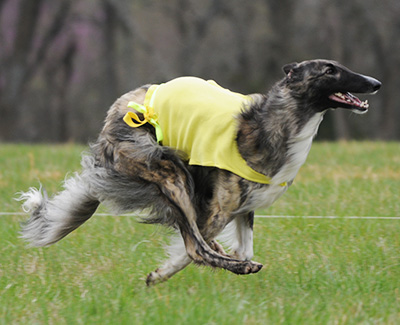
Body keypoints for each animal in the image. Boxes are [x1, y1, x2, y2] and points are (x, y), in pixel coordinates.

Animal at [18, 58, 382, 284]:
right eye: (329, 70)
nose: (376, 83)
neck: (268, 125)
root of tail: (118, 109)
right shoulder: (219, 207)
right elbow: (192, 249)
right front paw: (161, 273)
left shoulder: (243, 206)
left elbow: (240, 244)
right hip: (169, 172)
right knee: (195, 244)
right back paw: (235, 267)